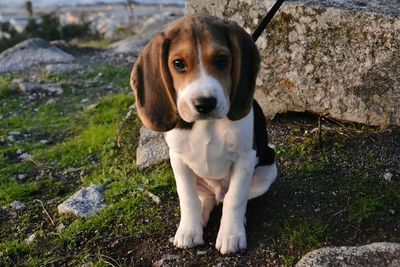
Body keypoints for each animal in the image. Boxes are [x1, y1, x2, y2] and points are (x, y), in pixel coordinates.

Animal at [130, 14, 276, 255]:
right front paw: (189, 230)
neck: (207, 124)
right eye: (178, 64)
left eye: (222, 60)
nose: (205, 104)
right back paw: (200, 217)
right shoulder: (178, 160)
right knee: (205, 198)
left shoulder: (245, 158)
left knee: (231, 197)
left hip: (267, 172)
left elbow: (236, 198)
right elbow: (187, 198)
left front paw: (231, 235)